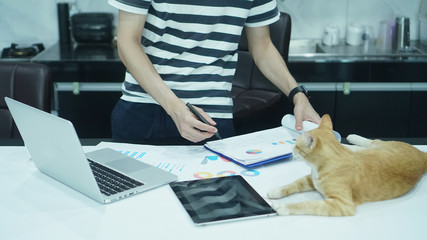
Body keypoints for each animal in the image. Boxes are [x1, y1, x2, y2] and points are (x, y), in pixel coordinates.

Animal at [270, 113, 426, 217]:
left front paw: (282, 207)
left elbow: (307, 205)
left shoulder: (341, 205)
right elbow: (293, 184)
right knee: (364, 145)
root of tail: (422, 154)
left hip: (381, 145)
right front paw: (275, 191)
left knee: (372, 141)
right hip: (374, 148)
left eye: (296, 145)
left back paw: (351, 138)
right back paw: (350, 139)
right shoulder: (310, 179)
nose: (291, 149)